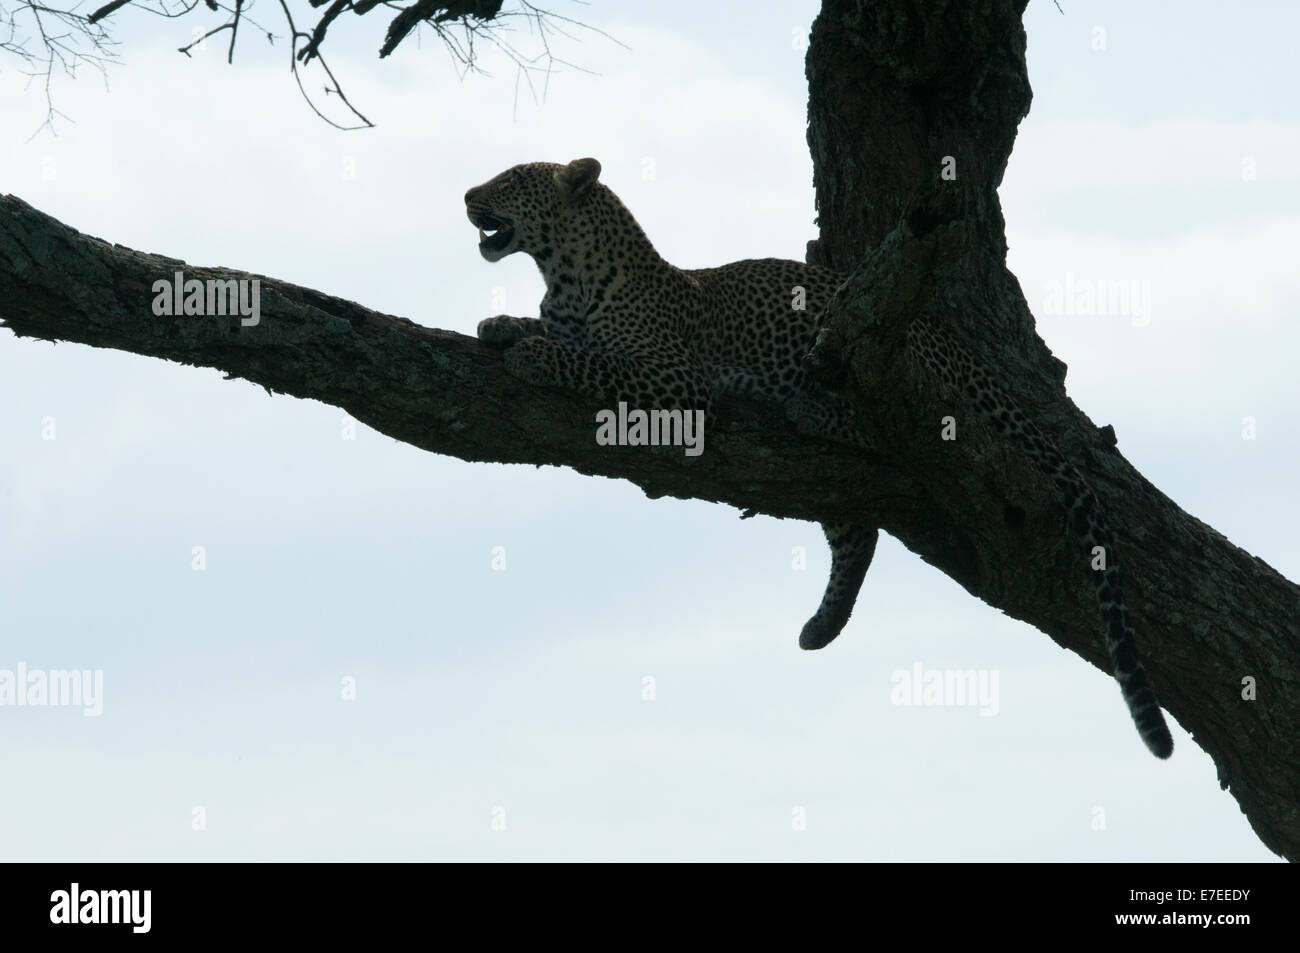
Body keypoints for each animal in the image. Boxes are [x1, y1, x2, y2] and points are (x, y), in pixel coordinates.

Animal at [464, 157, 1173, 759]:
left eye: (512, 178)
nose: (468, 196)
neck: (562, 274)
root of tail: (957, 345)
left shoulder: (676, 380)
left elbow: (589, 360)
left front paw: (531, 354)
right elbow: (555, 334)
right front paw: (502, 324)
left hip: (867, 355)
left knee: (896, 429)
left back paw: (806, 410)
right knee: (856, 532)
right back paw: (823, 624)